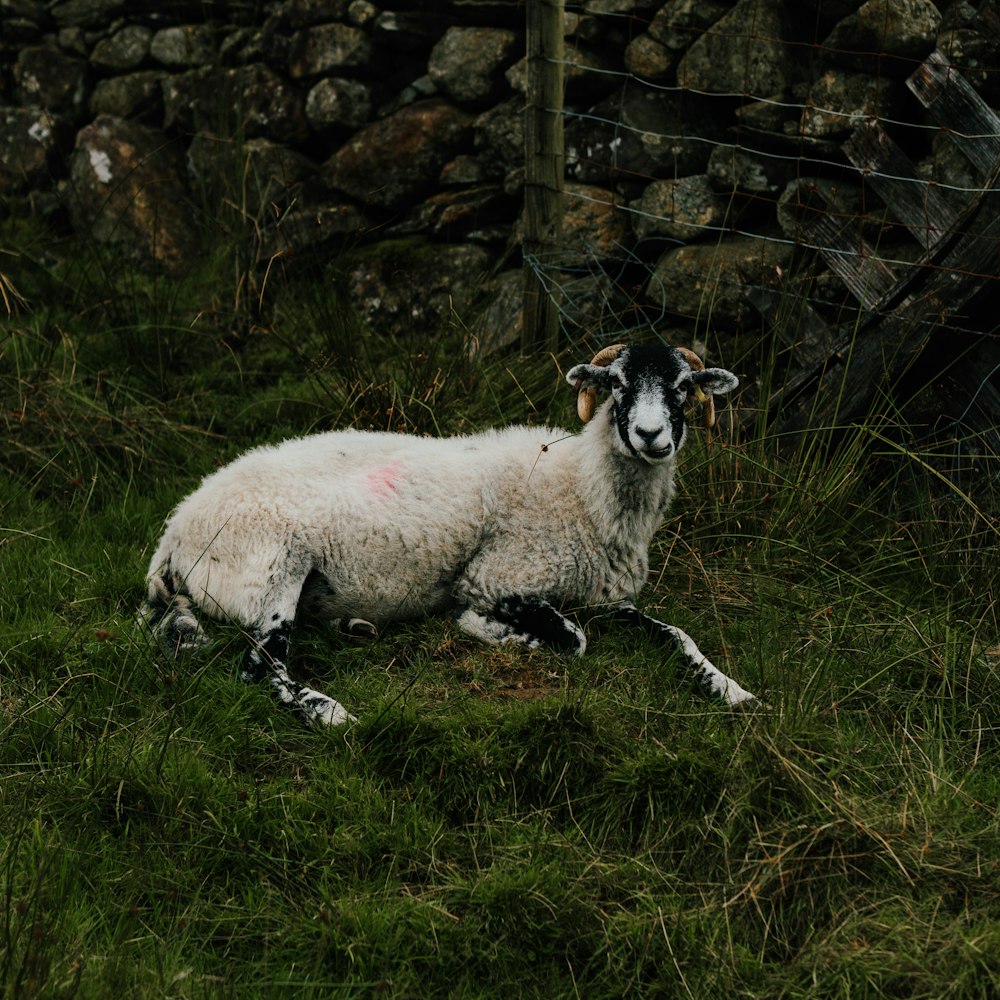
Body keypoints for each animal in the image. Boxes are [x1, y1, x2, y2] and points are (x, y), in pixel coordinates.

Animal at [143, 346, 756, 728]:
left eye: (683, 386)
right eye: (619, 384)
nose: (652, 435)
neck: (581, 488)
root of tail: (175, 531)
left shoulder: (607, 597)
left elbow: (677, 634)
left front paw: (731, 689)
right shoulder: (497, 577)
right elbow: (572, 638)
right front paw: (492, 630)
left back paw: (353, 627)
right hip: (272, 568)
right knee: (258, 666)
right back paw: (328, 712)